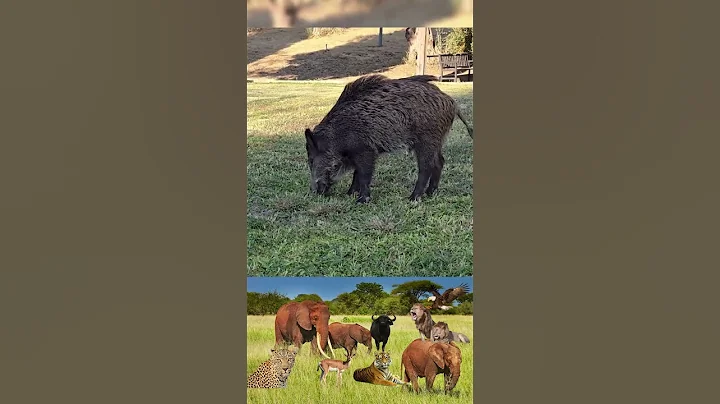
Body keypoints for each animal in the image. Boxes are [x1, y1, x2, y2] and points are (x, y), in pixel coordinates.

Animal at [304, 74, 473, 204]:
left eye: (311, 160)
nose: (315, 192)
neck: (337, 137)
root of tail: (452, 102)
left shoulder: (365, 151)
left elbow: (363, 174)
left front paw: (361, 200)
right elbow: (356, 174)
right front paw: (350, 194)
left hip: (426, 140)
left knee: (426, 167)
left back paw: (413, 198)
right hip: (437, 140)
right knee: (440, 161)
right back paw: (430, 193)